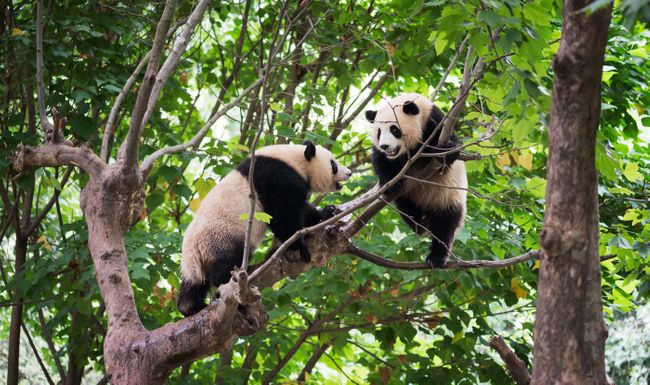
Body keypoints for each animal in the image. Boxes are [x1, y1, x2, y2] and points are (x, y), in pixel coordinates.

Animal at [176, 141, 350, 316]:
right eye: (333, 164)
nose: (349, 173)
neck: (295, 160)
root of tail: (192, 250)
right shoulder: (277, 178)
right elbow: (284, 214)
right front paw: (299, 247)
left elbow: (302, 210)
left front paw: (327, 212)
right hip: (221, 236)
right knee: (226, 266)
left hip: (198, 259)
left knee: (194, 284)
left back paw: (190, 307)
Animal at [364, 92, 466, 268]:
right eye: (378, 132)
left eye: (394, 129)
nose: (385, 146)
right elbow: (381, 161)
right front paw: (391, 183)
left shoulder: (437, 124)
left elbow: (450, 151)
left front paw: (444, 153)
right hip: (409, 197)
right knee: (406, 206)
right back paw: (418, 222)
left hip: (449, 197)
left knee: (445, 226)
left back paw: (436, 257)